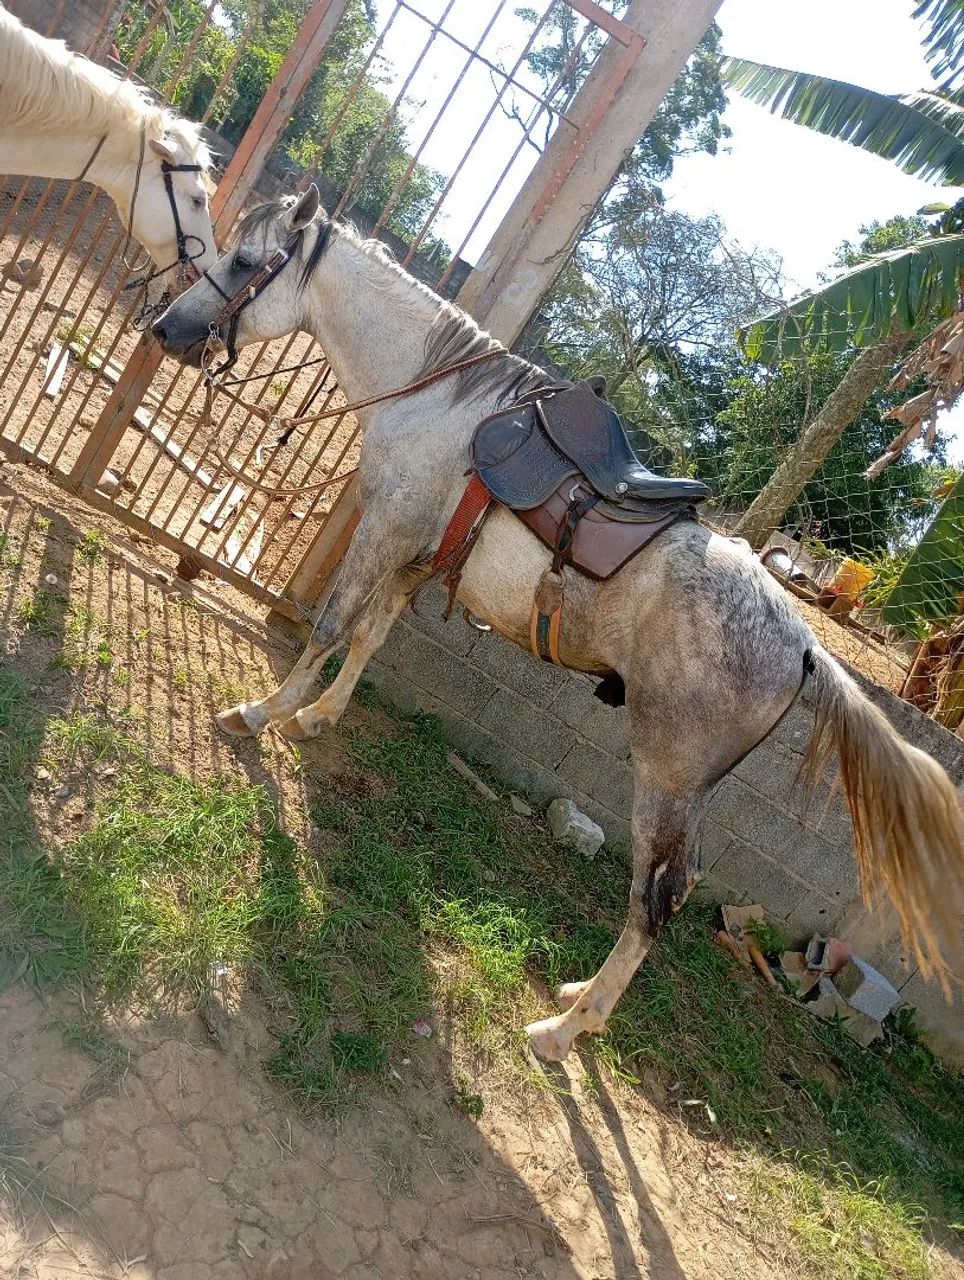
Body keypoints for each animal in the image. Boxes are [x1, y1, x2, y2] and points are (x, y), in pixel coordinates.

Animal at [151, 186, 964, 1063]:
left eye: (242, 260)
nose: (164, 328)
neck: (438, 405)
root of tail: (807, 646)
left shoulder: (385, 530)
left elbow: (334, 624)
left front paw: (259, 712)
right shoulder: (422, 554)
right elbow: (373, 633)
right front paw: (317, 717)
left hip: (667, 779)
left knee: (658, 897)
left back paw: (566, 1026)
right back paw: (576, 1000)